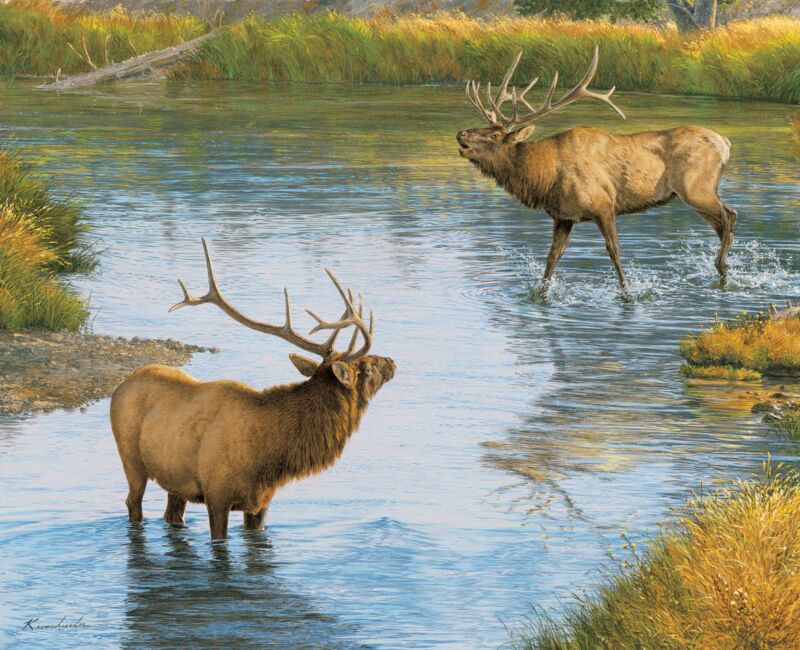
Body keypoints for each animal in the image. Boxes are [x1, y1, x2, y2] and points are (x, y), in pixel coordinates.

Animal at [110, 239, 395, 541]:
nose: (392, 361)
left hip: (176, 480)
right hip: (130, 457)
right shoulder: (216, 494)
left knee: (171, 514)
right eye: (367, 368)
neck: (270, 455)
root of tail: (122, 384)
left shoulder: (261, 502)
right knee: (132, 501)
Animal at [457, 47, 737, 294]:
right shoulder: (564, 216)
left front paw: (627, 294)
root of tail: (725, 143)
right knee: (722, 224)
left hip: (696, 189)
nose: (461, 133)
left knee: (729, 216)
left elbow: (614, 252)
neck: (545, 176)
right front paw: (541, 295)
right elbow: (552, 259)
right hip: (692, 196)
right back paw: (723, 273)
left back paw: (721, 267)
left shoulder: (604, 205)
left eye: (495, 134)